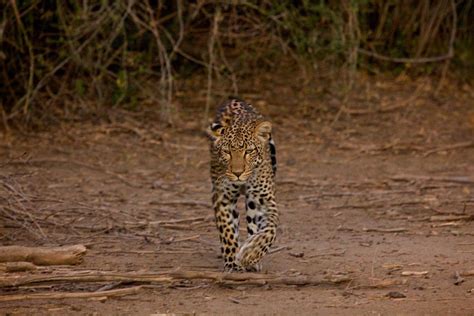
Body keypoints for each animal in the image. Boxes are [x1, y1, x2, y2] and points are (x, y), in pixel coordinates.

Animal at [206, 99, 278, 272]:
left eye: (249, 151)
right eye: (227, 152)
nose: (238, 173)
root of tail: (234, 100)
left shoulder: (264, 199)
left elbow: (270, 229)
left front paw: (251, 253)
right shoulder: (222, 197)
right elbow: (227, 231)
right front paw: (232, 262)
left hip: (253, 201)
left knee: (253, 224)